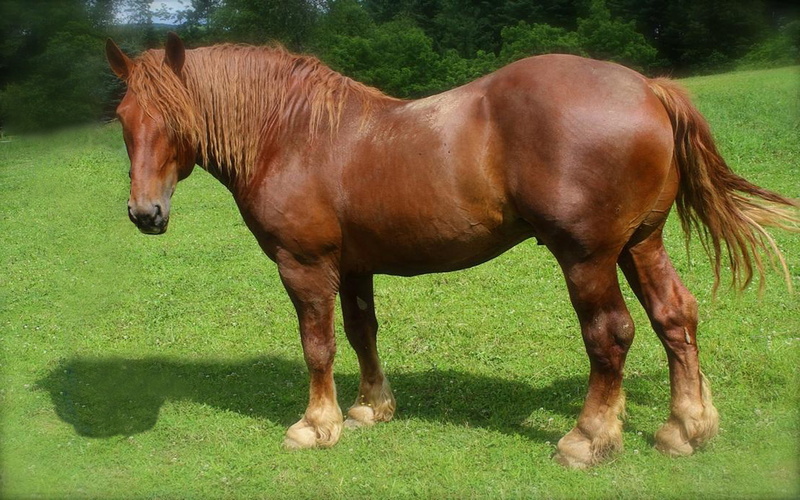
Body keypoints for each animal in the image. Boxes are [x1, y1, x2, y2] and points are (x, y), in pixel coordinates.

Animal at [105, 33, 798, 468]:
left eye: (175, 118)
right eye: (123, 119)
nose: (145, 214)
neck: (295, 134)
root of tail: (649, 88)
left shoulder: (305, 267)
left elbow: (317, 344)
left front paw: (317, 425)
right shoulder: (354, 265)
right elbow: (361, 331)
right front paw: (370, 408)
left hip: (588, 257)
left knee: (611, 335)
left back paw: (588, 438)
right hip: (640, 243)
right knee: (674, 317)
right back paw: (687, 428)